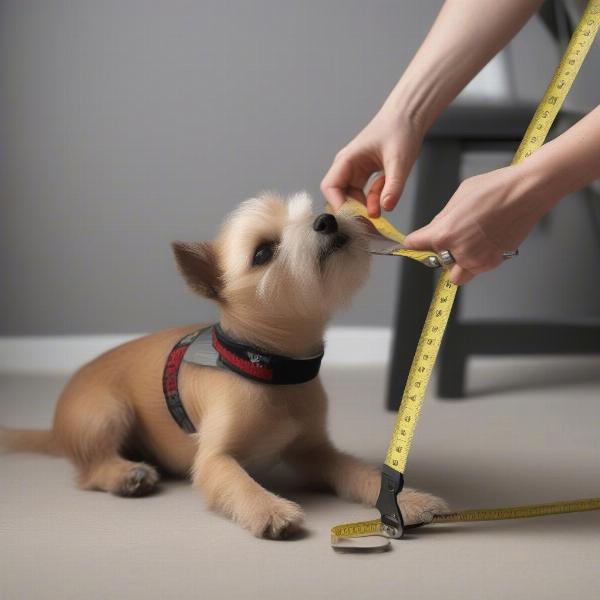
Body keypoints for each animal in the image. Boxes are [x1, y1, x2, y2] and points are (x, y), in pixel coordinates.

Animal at [0, 193, 446, 540]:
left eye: (311, 212)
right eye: (263, 252)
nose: (327, 219)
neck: (272, 370)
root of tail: (56, 431)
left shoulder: (315, 451)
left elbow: (359, 472)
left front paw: (406, 500)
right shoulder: (214, 460)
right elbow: (236, 481)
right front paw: (269, 509)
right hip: (108, 411)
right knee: (89, 471)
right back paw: (125, 475)